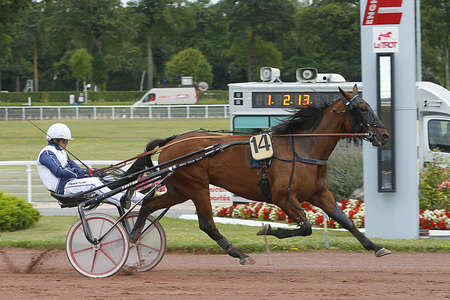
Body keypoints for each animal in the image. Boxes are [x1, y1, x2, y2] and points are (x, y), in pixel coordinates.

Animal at [129, 85, 390, 264]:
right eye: (362, 108)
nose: (385, 134)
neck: (304, 148)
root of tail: (172, 141)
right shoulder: (283, 197)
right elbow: (305, 227)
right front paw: (267, 229)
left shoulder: (319, 194)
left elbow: (345, 220)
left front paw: (375, 246)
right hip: (197, 186)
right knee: (207, 224)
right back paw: (239, 253)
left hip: (179, 189)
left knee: (149, 205)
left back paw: (133, 237)